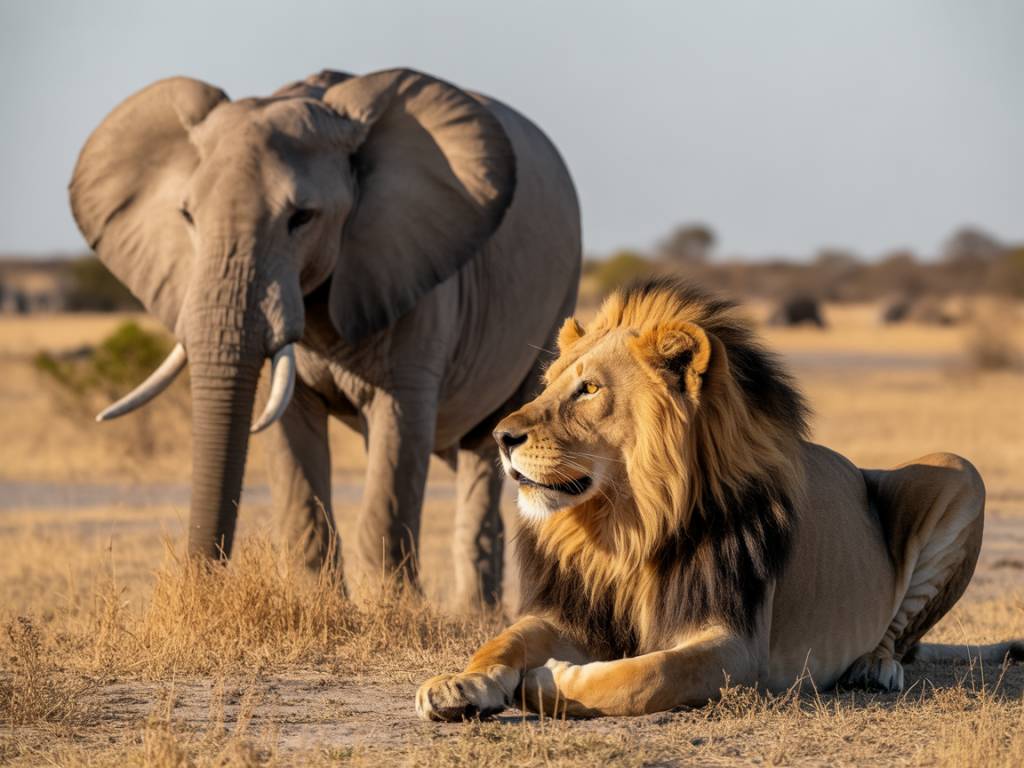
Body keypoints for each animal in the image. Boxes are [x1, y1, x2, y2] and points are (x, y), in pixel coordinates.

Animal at [416, 278, 1020, 720]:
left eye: (589, 390)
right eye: (548, 385)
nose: (500, 436)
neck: (629, 527)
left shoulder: (737, 647)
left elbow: (646, 675)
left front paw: (549, 680)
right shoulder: (575, 611)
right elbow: (505, 638)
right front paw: (459, 683)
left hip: (959, 472)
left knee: (900, 634)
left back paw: (873, 667)